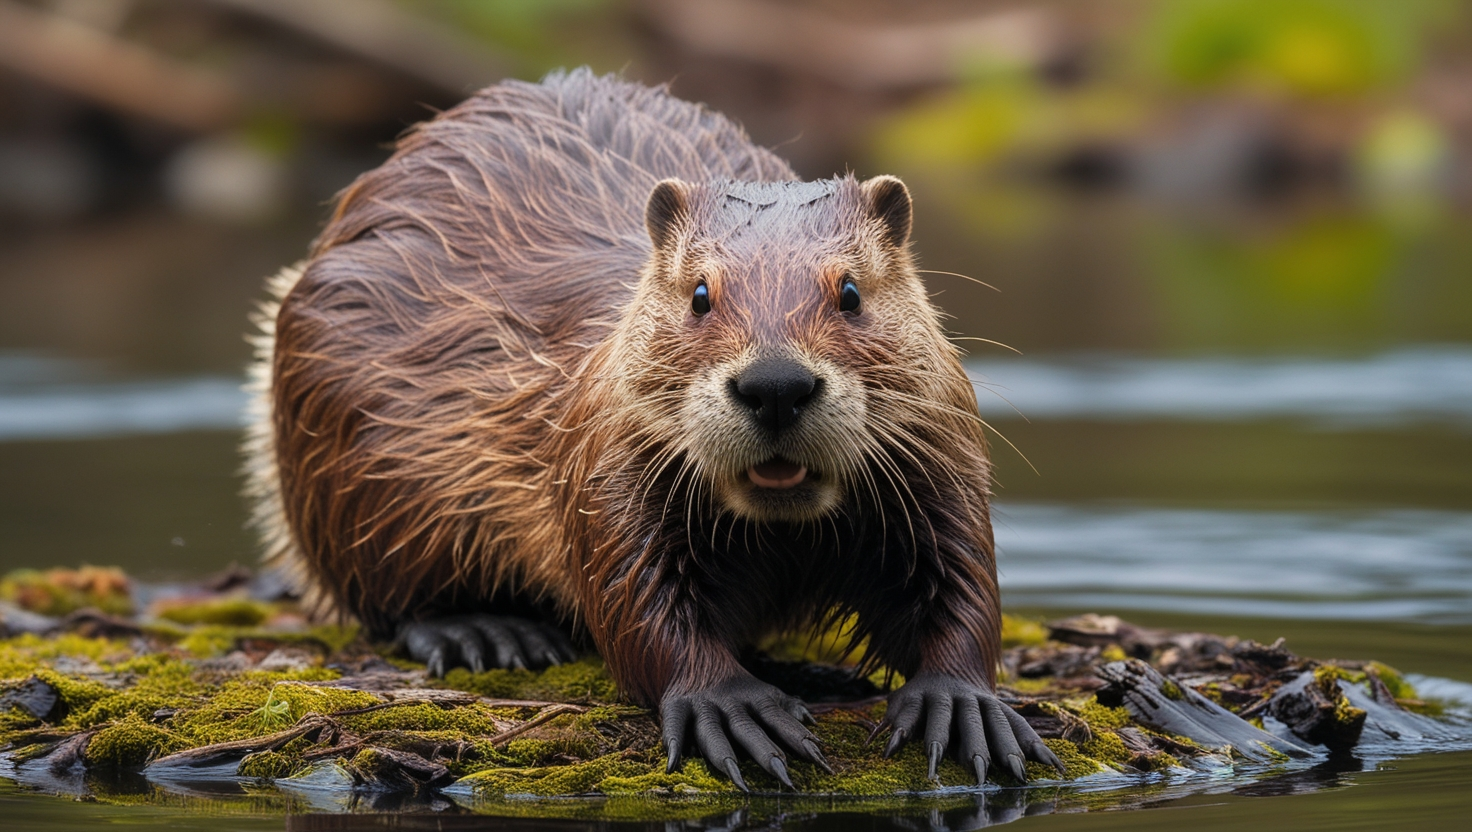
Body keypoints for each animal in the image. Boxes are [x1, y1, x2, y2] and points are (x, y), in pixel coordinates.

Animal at [253, 68, 1059, 789]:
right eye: (700, 292)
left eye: (851, 291)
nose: (775, 385)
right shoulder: (605, 459)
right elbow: (632, 596)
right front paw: (733, 709)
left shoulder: (937, 447)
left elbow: (961, 578)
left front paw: (963, 704)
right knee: (377, 591)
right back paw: (484, 630)